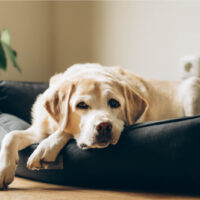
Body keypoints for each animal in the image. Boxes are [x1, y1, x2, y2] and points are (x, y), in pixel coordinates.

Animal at [0, 63, 200, 188]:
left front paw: (46, 148)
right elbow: (11, 135)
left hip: (192, 87)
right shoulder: (39, 129)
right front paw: (5, 169)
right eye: (81, 105)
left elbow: (65, 131)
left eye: (114, 103)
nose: (104, 126)